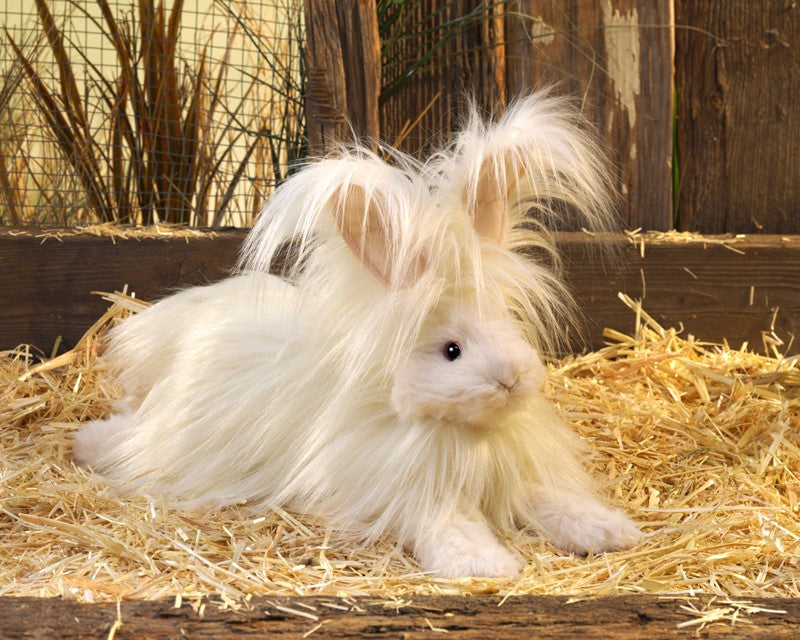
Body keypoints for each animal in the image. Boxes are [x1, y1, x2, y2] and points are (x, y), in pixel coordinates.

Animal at [73, 95, 636, 580]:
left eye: (506, 324)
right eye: (451, 351)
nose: (511, 379)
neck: (457, 435)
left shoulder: (520, 478)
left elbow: (557, 503)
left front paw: (611, 530)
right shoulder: (417, 495)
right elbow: (451, 528)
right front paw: (484, 565)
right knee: (125, 436)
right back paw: (87, 443)